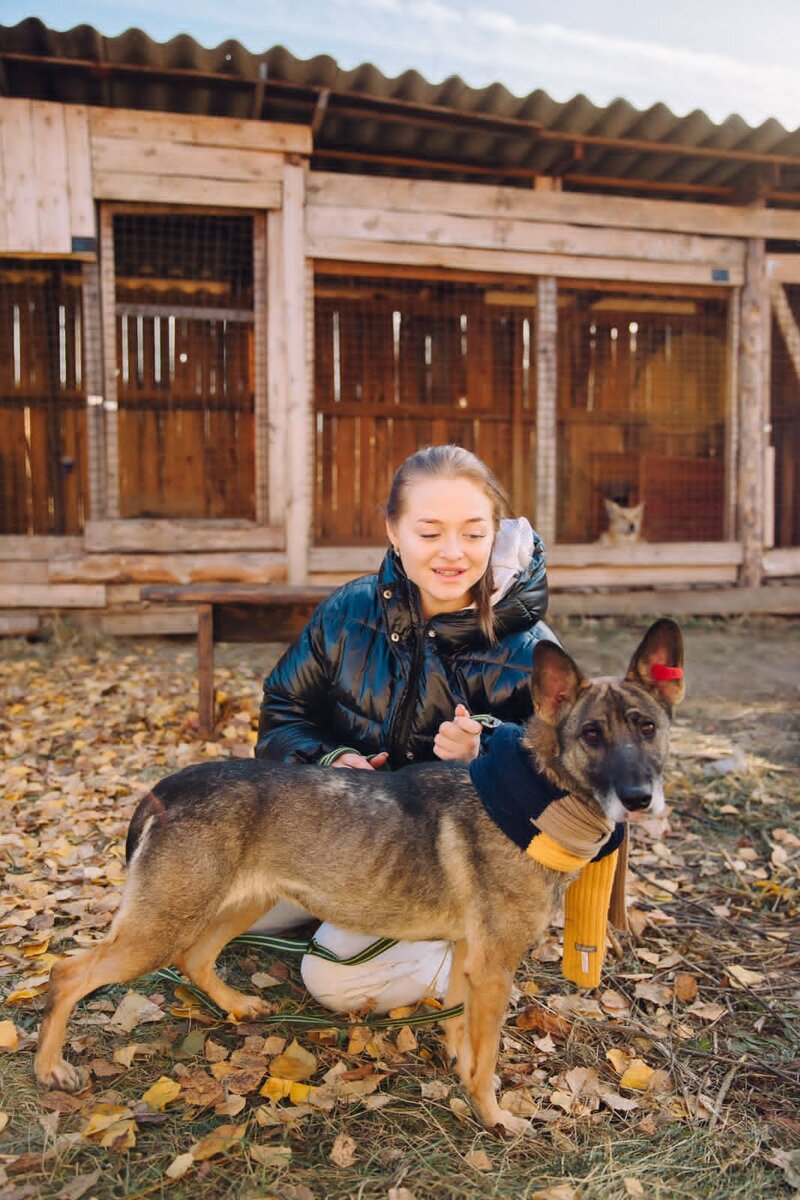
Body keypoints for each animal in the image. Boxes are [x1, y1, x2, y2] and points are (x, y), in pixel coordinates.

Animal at [35, 619, 681, 1132]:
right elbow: (486, 1060)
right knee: (68, 974)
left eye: (647, 728)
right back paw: (49, 1067)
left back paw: (237, 1005)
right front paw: (494, 1117)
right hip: (161, 927)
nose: (640, 799)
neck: (533, 801)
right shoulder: (494, 968)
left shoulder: (468, 959)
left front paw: (460, 1074)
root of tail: (162, 790)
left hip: (237, 905)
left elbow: (461, 1033)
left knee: (195, 959)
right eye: (592, 735)